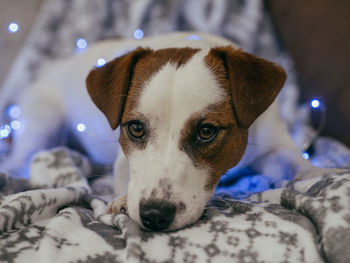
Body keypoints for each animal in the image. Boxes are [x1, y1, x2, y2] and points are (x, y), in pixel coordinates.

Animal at [0, 32, 320, 232]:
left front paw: (317, 173)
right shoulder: (124, 158)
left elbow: (296, 162)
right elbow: (126, 177)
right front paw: (121, 200)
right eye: (136, 128)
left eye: (206, 131)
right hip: (43, 120)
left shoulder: (274, 146)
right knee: (21, 155)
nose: (154, 215)